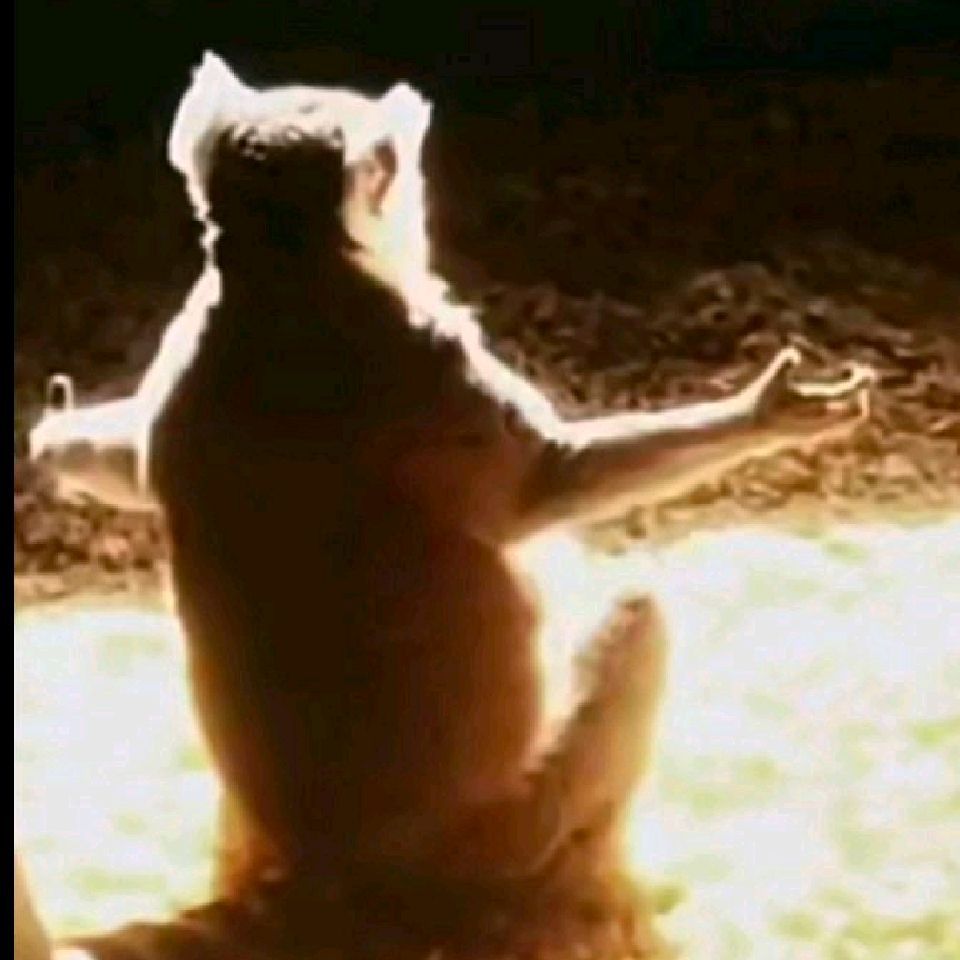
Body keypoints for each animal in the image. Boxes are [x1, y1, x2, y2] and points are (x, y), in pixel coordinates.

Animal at [25, 53, 874, 954]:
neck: (288, 281)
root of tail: (339, 864)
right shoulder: (427, 366)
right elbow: (553, 485)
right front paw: (761, 415)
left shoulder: (188, 359)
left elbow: (134, 463)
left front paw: (58, 440)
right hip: (522, 811)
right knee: (634, 619)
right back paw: (601, 875)